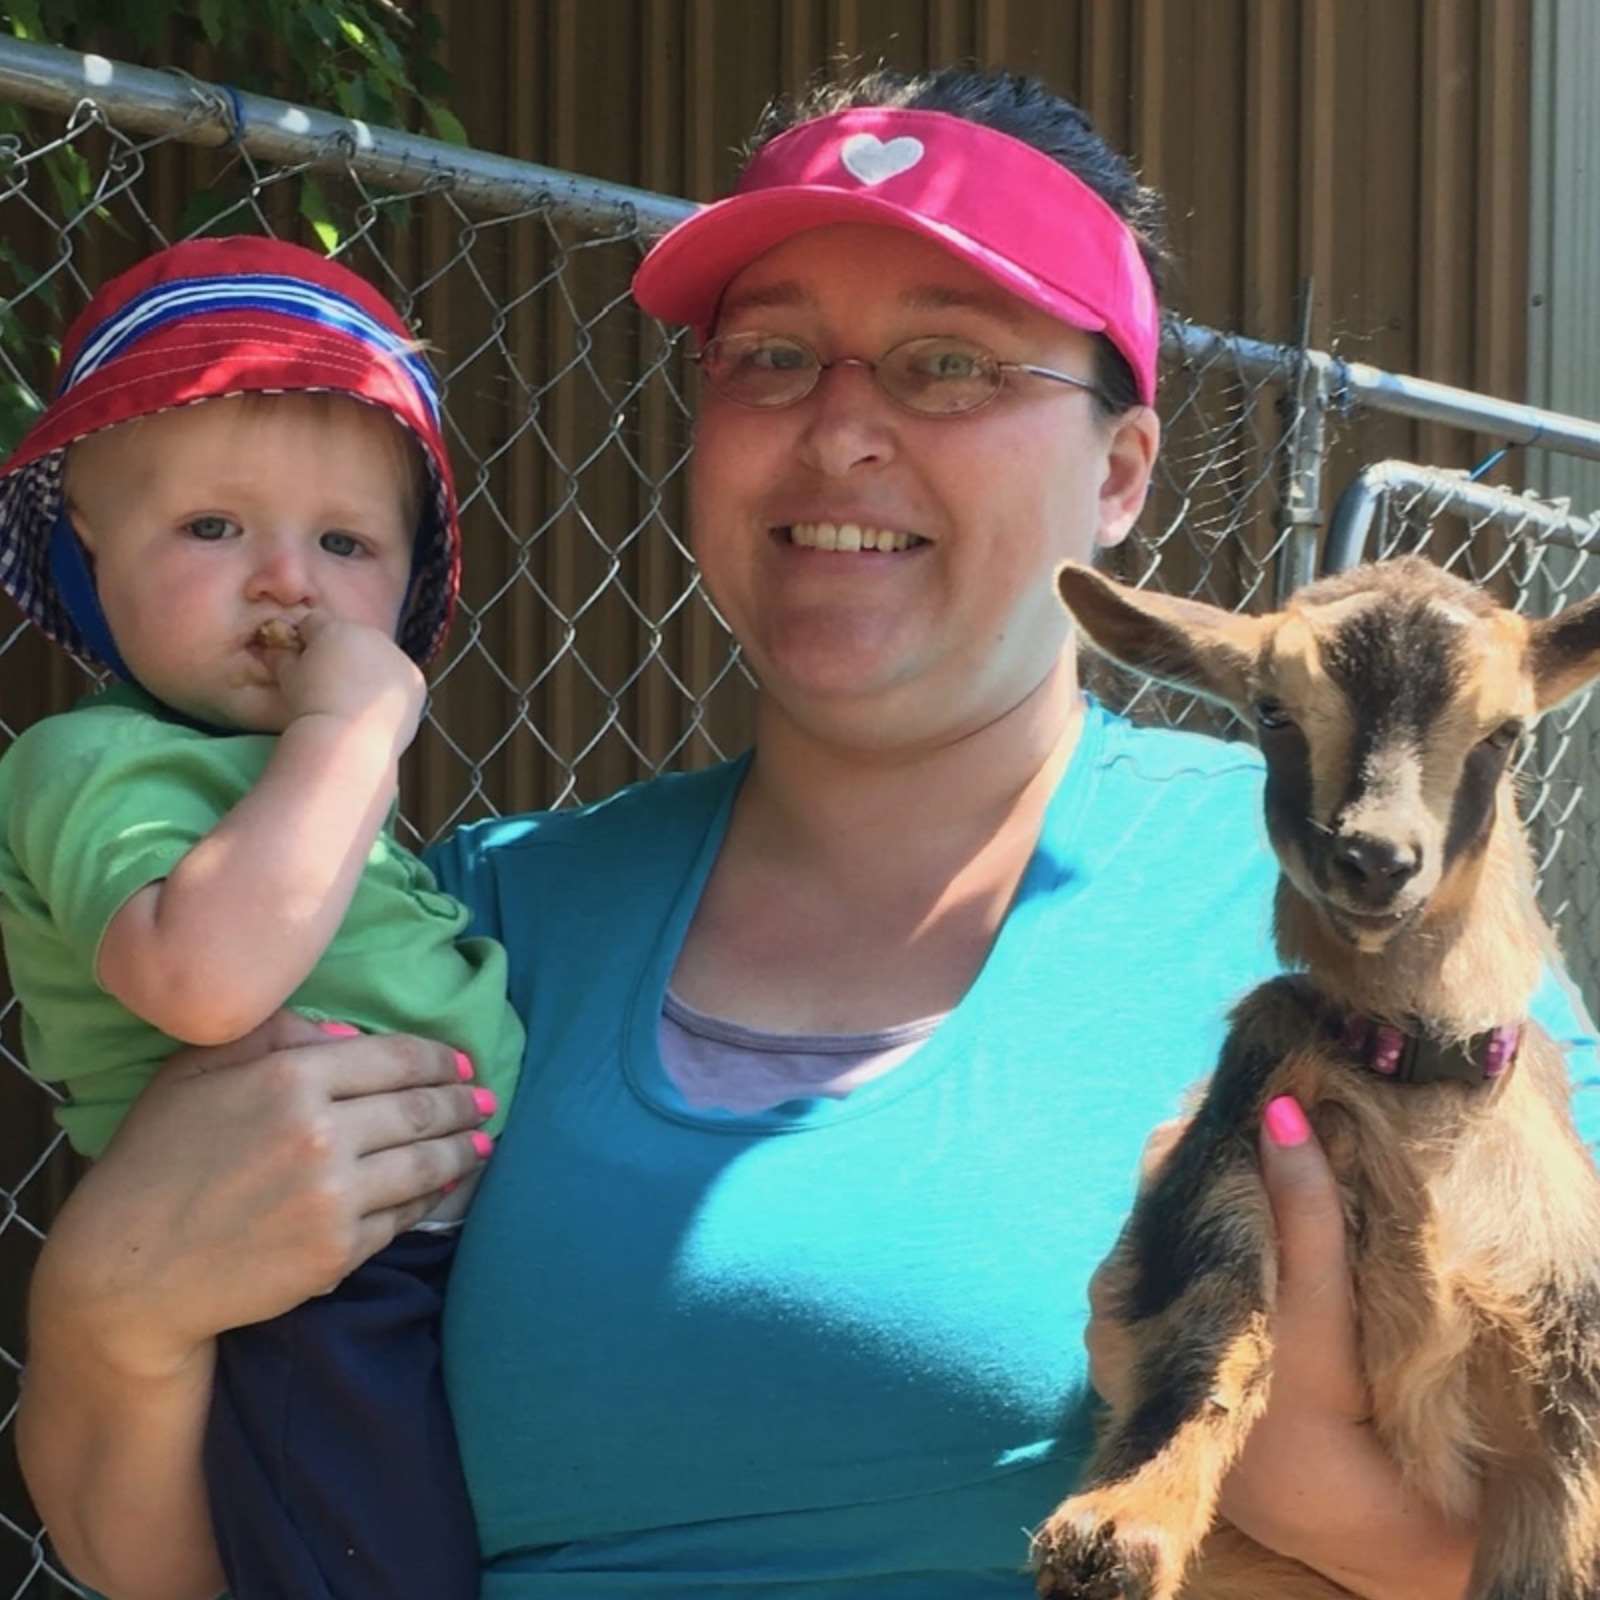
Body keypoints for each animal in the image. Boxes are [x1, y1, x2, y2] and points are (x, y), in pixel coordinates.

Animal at [1030, 553, 1600, 1600]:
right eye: (1272, 711)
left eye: (1505, 732)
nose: (1374, 858)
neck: (1417, 1074)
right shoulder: (1232, 1139)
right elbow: (1210, 1320)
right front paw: (1118, 1529)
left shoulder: (1568, 1353)